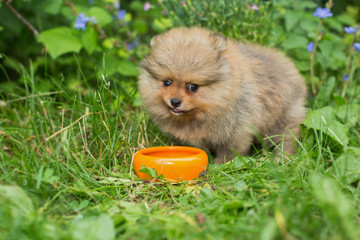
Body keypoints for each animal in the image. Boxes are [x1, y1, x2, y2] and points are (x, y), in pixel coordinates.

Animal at [138, 27, 306, 164]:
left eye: (193, 87)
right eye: (167, 82)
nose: (174, 101)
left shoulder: (237, 129)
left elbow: (230, 150)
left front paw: (220, 164)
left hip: (284, 118)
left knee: (287, 138)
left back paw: (281, 159)